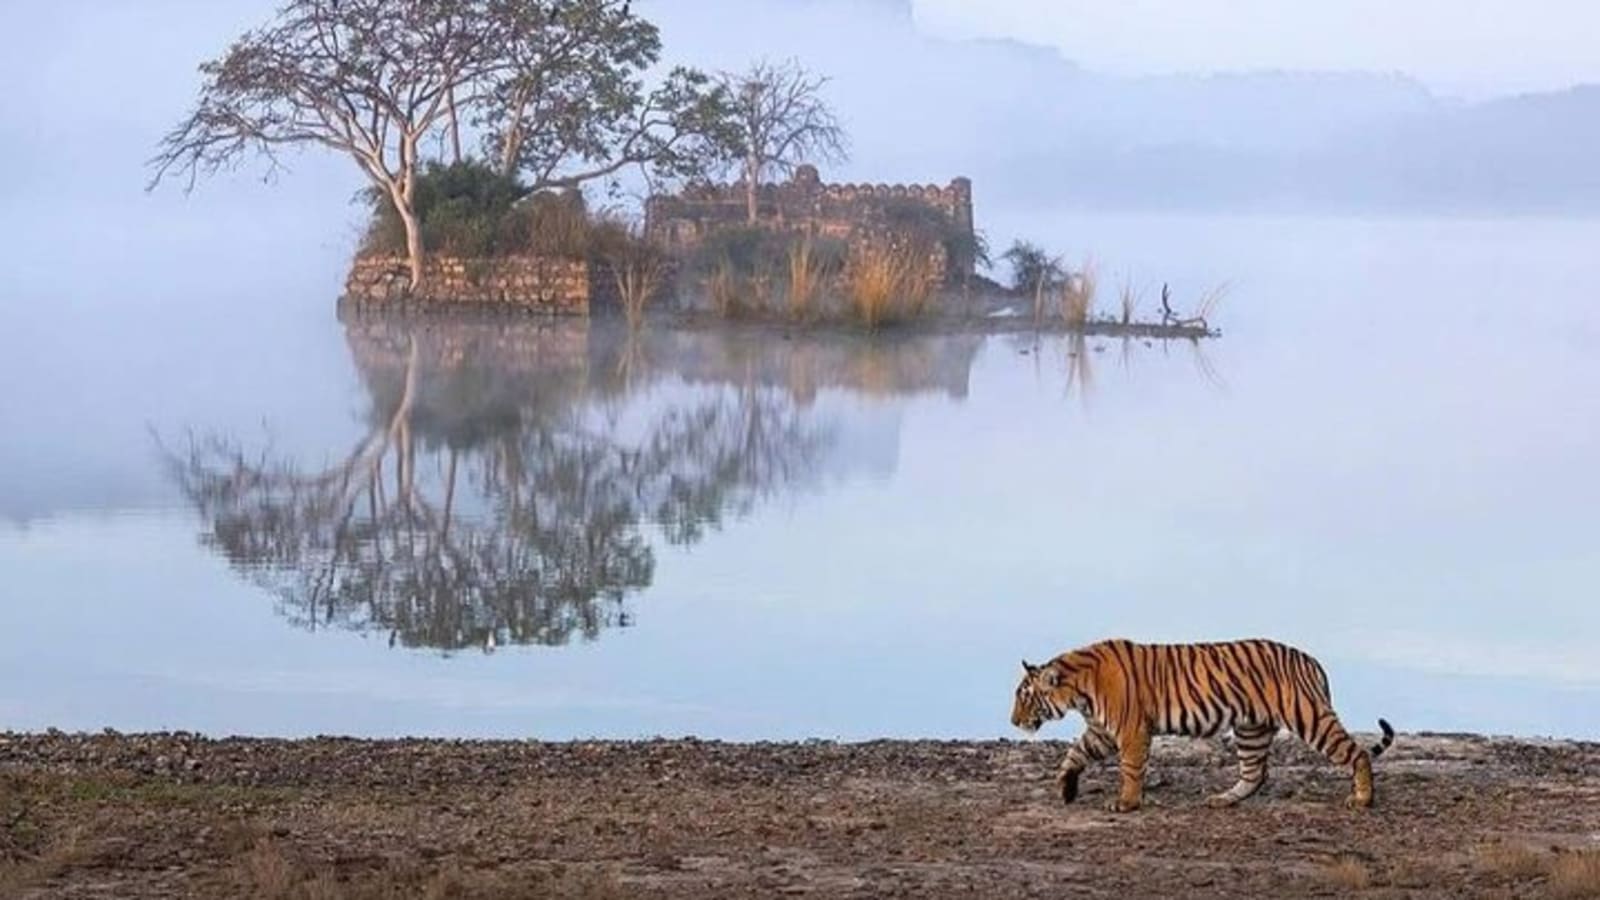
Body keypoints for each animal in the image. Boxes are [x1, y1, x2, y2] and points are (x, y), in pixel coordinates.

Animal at [1010, 638, 1394, 812]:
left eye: (1025, 696)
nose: (1013, 721)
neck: (1079, 691)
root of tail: (1311, 659)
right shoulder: (1102, 731)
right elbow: (1075, 754)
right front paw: (1065, 788)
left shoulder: (1131, 729)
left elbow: (1130, 768)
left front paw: (1127, 803)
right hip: (1251, 729)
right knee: (1255, 773)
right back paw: (1223, 799)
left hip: (1309, 716)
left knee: (1357, 752)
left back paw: (1362, 799)